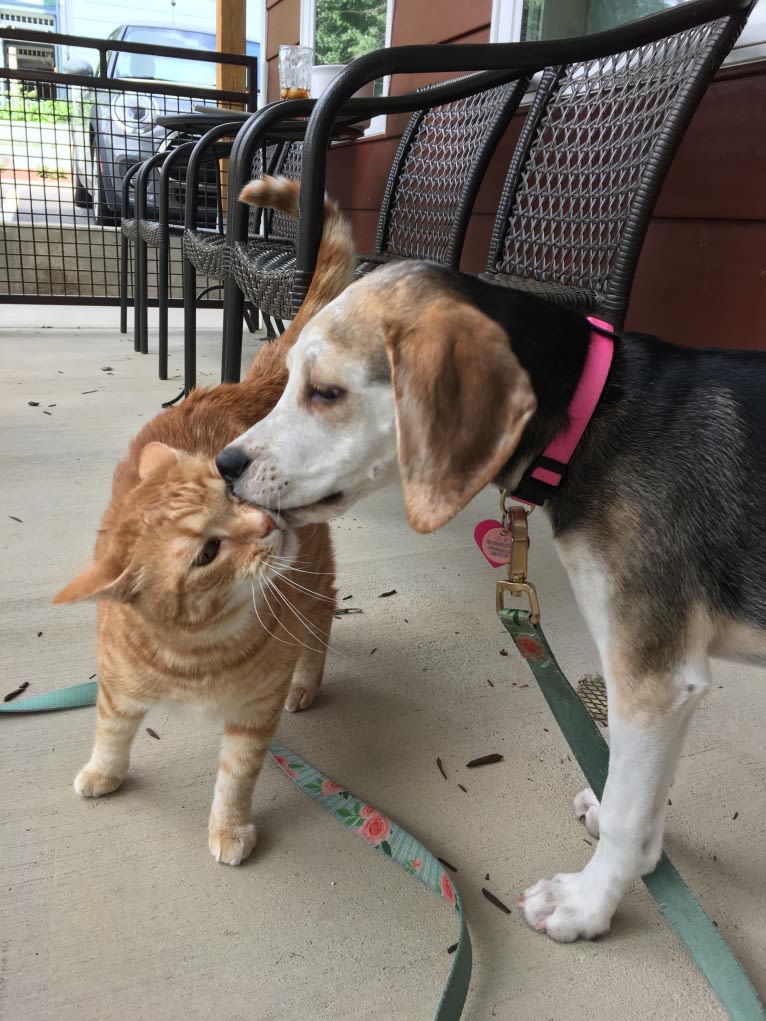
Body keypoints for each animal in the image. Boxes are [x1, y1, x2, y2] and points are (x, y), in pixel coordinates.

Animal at [52, 177, 355, 861]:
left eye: (234, 494)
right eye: (207, 553)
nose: (267, 525)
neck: (196, 656)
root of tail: (237, 386)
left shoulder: (253, 713)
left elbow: (236, 777)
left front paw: (229, 827)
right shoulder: (117, 687)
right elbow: (112, 731)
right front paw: (104, 772)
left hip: (314, 574)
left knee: (321, 618)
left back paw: (308, 679)